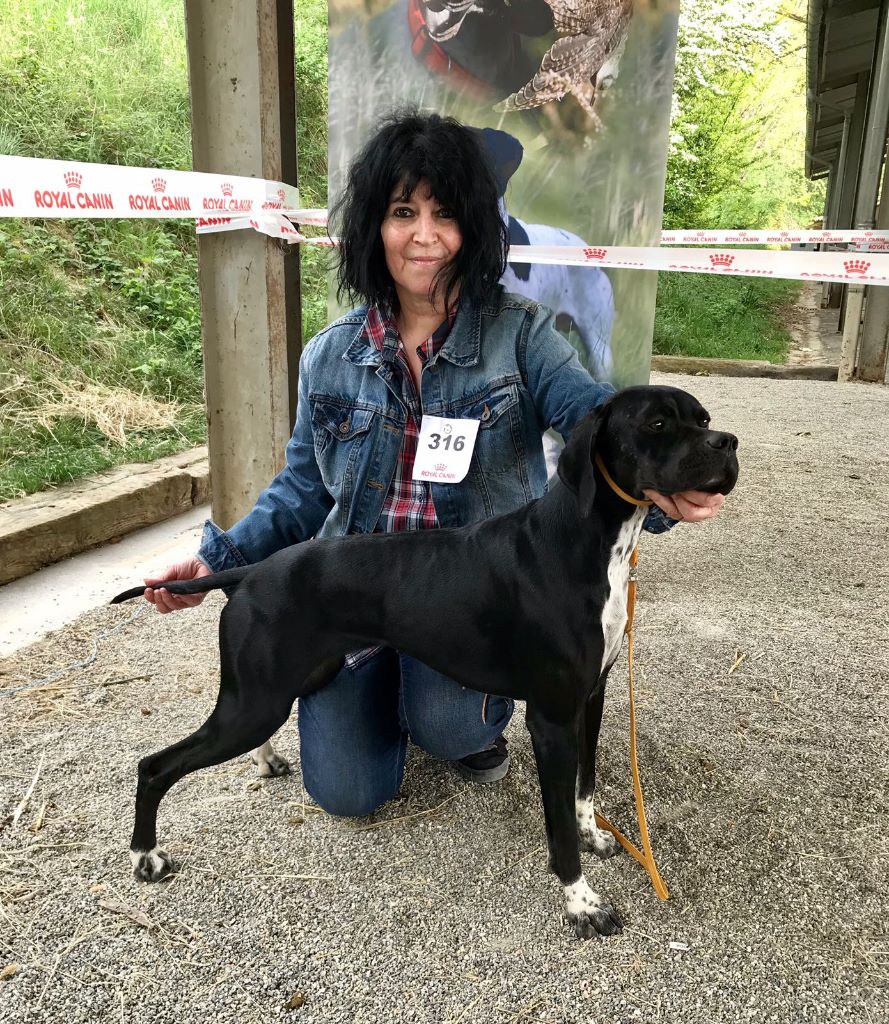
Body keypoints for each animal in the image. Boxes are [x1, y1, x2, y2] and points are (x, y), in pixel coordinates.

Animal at [112, 382, 737, 937]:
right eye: (657, 424)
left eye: (703, 419)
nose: (727, 442)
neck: (583, 545)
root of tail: (250, 573)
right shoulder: (552, 717)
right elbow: (558, 822)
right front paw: (581, 903)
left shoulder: (591, 699)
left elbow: (584, 787)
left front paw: (593, 835)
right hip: (254, 703)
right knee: (155, 766)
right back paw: (146, 857)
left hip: (283, 685)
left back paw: (264, 762)